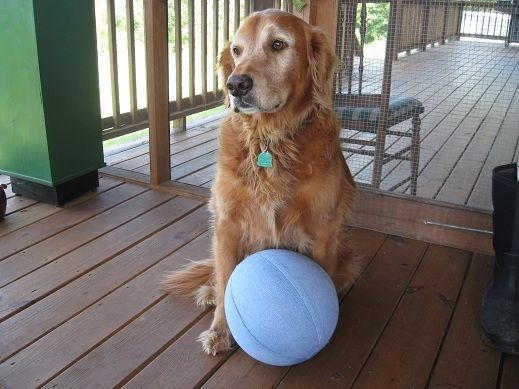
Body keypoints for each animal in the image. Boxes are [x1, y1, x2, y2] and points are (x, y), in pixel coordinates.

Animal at [162, 9, 358, 354]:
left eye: (278, 44)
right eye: (237, 50)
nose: (235, 85)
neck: (269, 139)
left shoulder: (322, 229)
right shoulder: (226, 223)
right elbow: (226, 280)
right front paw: (220, 330)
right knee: (217, 276)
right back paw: (209, 292)